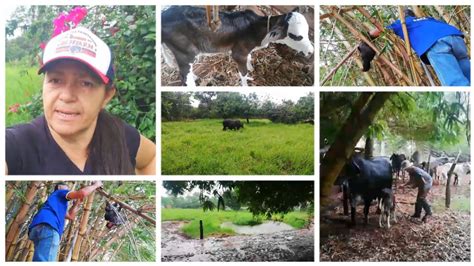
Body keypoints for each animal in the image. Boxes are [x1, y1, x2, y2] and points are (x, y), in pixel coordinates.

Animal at [161, 5, 312, 85]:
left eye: (307, 31)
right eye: (296, 36)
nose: (311, 51)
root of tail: (165, 14)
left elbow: (249, 59)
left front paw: (251, 68)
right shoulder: (238, 53)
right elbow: (243, 73)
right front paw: (246, 83)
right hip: (185, 52)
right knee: (184, 76)